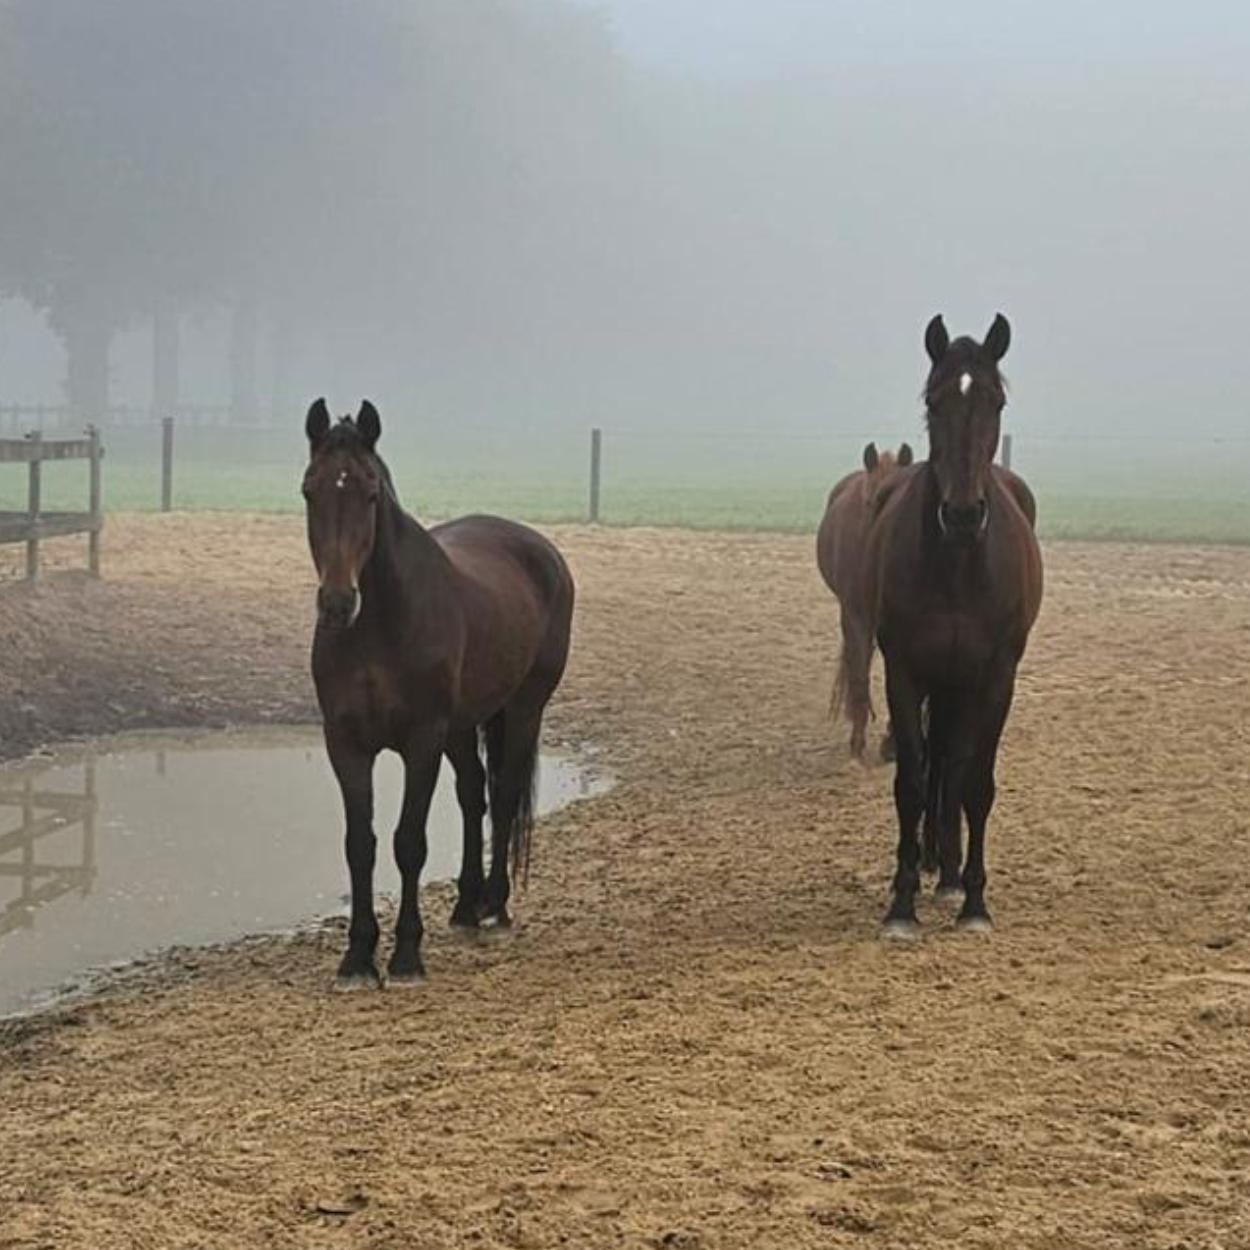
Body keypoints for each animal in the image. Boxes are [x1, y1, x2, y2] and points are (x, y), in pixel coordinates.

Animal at [302, 399, 575, 988]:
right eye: (310, 490)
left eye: (371, 493)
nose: (337, 603)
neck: (379, 627)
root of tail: (542, 551)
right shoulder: (346, 745)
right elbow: (361, 846)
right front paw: (358, 958)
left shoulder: (421, 742)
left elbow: (409, 842)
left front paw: (406, 955)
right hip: (461, 726)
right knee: (473, 796)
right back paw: (466, 907)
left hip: (522, 710)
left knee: (503, 793)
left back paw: (494, 906)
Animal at [864, 314, 1043, 937]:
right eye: (934, 401)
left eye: (997, 401)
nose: (964, 514)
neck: (960, 563)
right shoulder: (906, 670)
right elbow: (912, 782)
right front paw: (900, 904)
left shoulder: (995, 676)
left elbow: (976, 783)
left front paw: (974, 902)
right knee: (937, 762)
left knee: (955, 765)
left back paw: (950, 874)